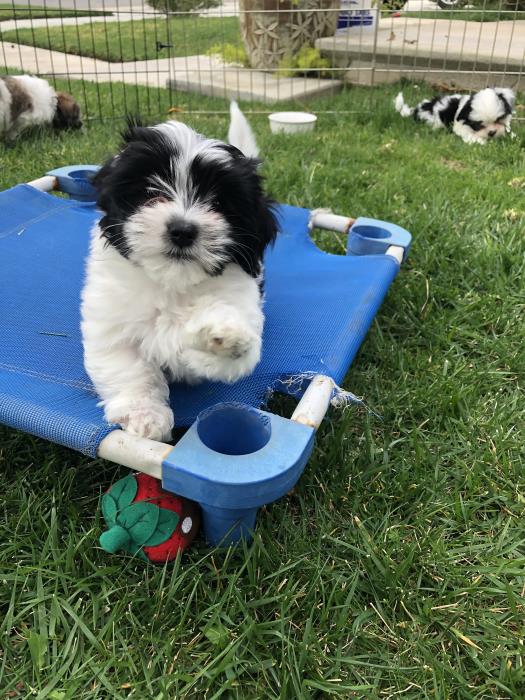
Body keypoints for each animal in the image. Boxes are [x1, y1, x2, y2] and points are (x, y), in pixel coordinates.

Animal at [80, 102, 276, 442]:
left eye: (218, 203)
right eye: (151, 192)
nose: (183, 230)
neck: (171, 282)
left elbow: (229, 351)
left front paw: (224, 335)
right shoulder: (112, 322)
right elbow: (129, 367)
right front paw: (145, 413)